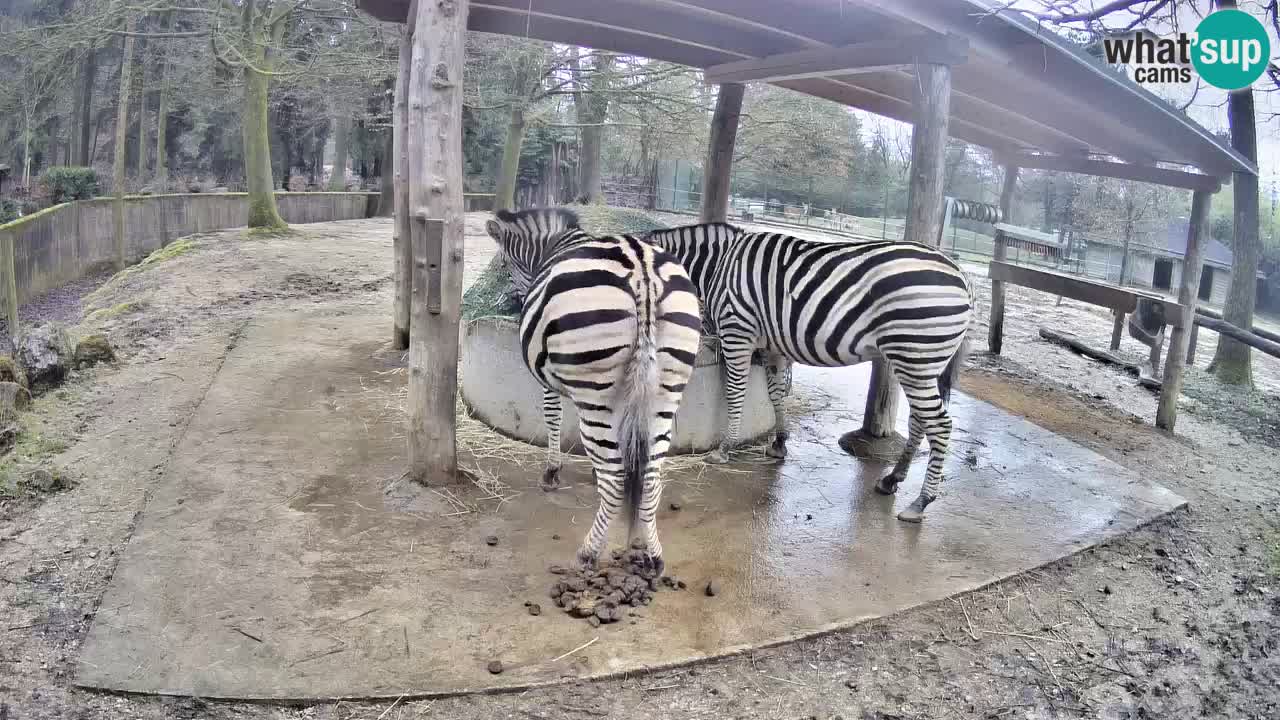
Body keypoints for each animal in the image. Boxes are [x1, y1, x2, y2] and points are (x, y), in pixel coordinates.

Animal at [484, 208, 702, 571]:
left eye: (503, 265)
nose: (503, 304)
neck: (554, 245)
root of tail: (642, 270)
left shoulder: (550, 379)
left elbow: (553, 416)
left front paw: (552, 471)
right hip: (664, 392)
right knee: (650, 478)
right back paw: (653, 555)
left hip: (597, 390)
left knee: (614, 481)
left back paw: (588, 551)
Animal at [643, 223, 972, 523]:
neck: (718, 265)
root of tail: (961, 275)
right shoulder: (771, 344)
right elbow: (775, 394)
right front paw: (779, 443)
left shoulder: (737, 332)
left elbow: (736, 392)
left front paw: (724, 448)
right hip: (920, 362)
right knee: (920, 419)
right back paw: (892, 479)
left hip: (914, 354)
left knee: (940, 424)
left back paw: (920, 503)